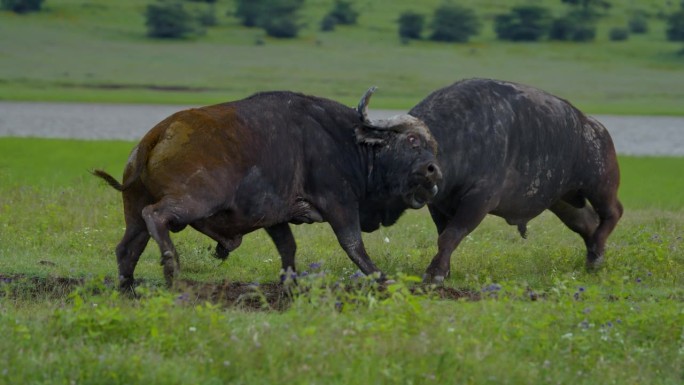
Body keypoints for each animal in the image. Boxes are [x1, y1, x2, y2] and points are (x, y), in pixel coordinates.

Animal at [93, 88, 440, 288]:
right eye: (412, 140)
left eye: (432, 146)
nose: (433, 170)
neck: (351, 142)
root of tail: (160, 132)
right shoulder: (340, 205)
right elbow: (354, 246)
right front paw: (381, 278)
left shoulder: (276, 217)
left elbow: (288, 248)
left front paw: (290, 283)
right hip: (196, 201)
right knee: (157, 216)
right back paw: (172, 267)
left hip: (133, 211)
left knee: (127, 247)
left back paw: (128, 286)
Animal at [400, 79, 624, 282]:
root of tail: (596, 127)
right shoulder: (438, 204)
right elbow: (442, 235)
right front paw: (444, 270)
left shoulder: (479, 200)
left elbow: (450, 235)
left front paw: (435, 273)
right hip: (562, 200)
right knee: (588, 222)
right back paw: (593, 258)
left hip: (600, 185)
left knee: (613, 212)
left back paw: (596, 255)